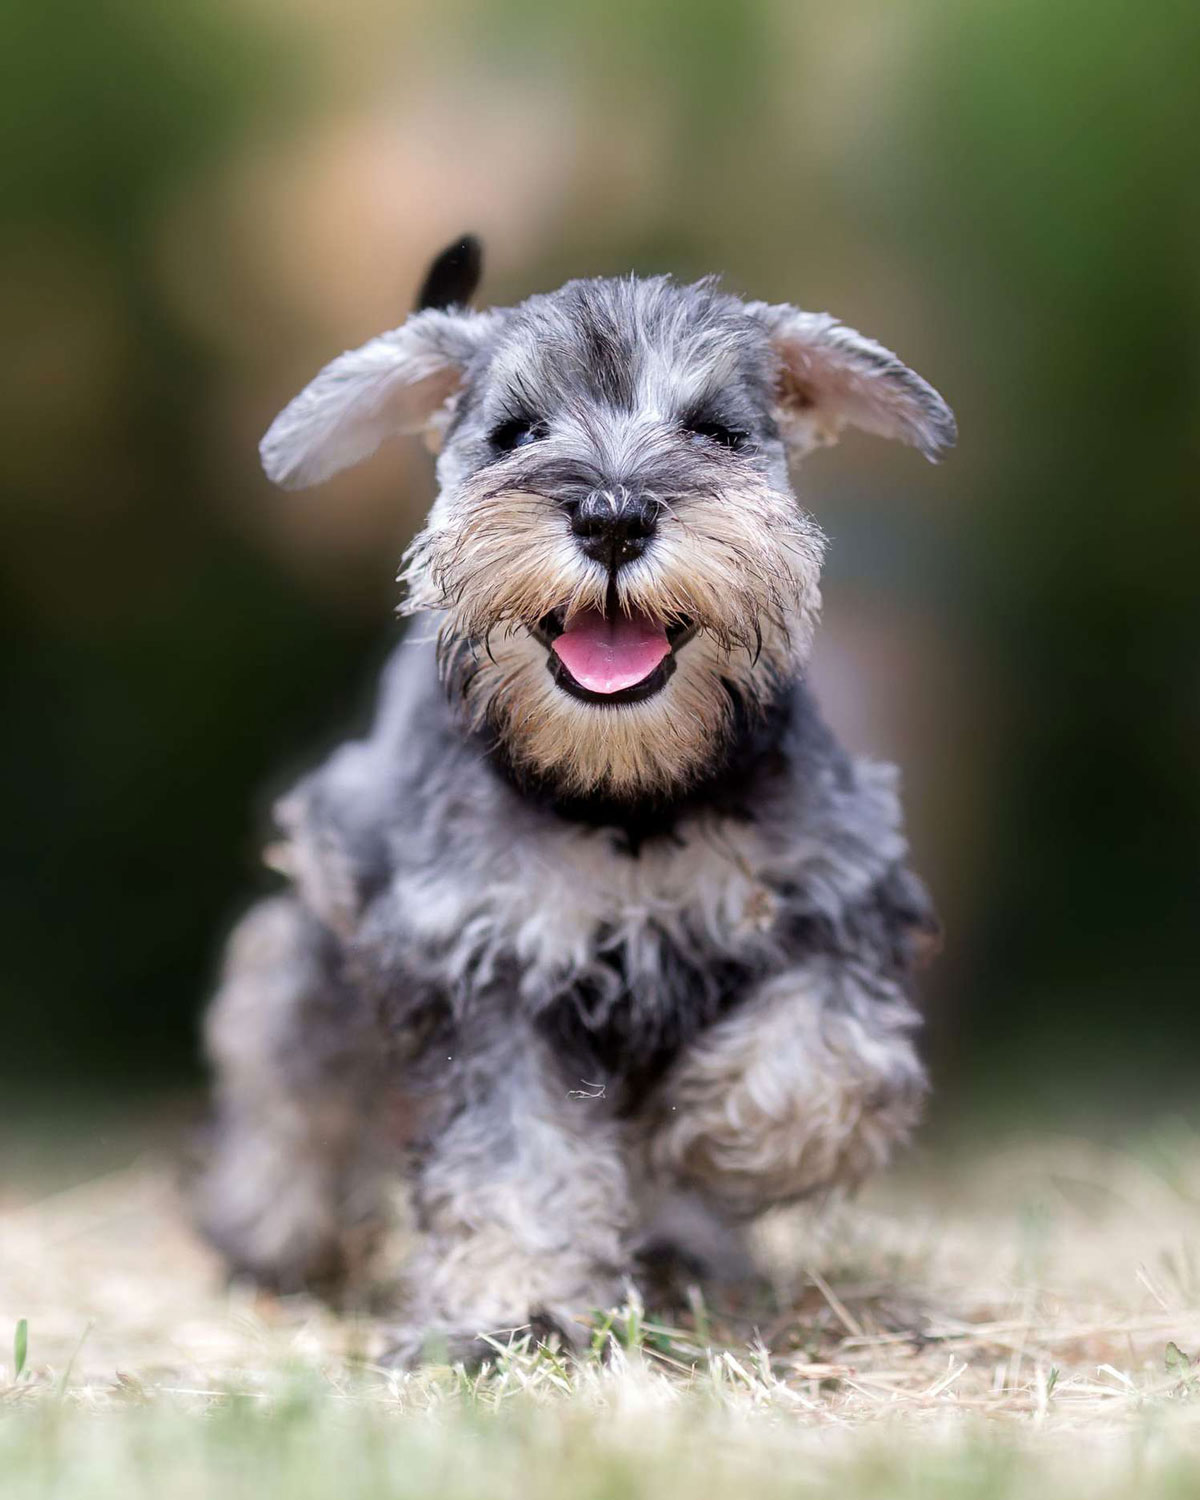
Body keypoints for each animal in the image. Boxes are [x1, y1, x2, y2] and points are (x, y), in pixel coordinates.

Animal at [196, 234, 954, 1362]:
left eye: (715, 431)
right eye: (517, 432)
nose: (613, 514)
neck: (623, 796)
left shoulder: (837, 896)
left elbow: (822, 1061)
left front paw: (714, 1142)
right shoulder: (483, 965)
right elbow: (513, 1159)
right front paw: (513, 1306)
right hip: (317, 946)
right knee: (287, 1067)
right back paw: (268, 1229)